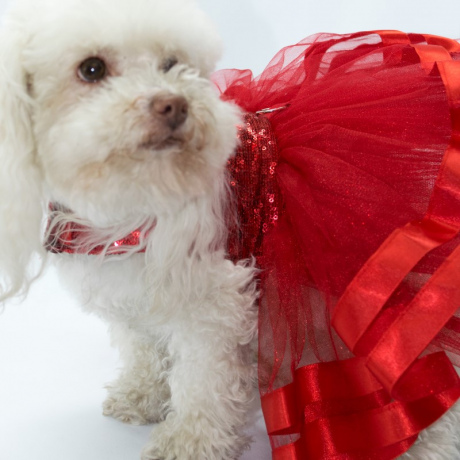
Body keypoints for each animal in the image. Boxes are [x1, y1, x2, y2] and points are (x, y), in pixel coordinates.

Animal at [0, 0, 458, 460]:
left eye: (172, 64)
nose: (174, 105)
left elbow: (203, 380)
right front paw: (143, 396)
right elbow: (143, 347)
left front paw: (190, 440)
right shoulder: (130, 288)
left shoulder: (211, 301)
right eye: (91, 69)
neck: (134, 196)